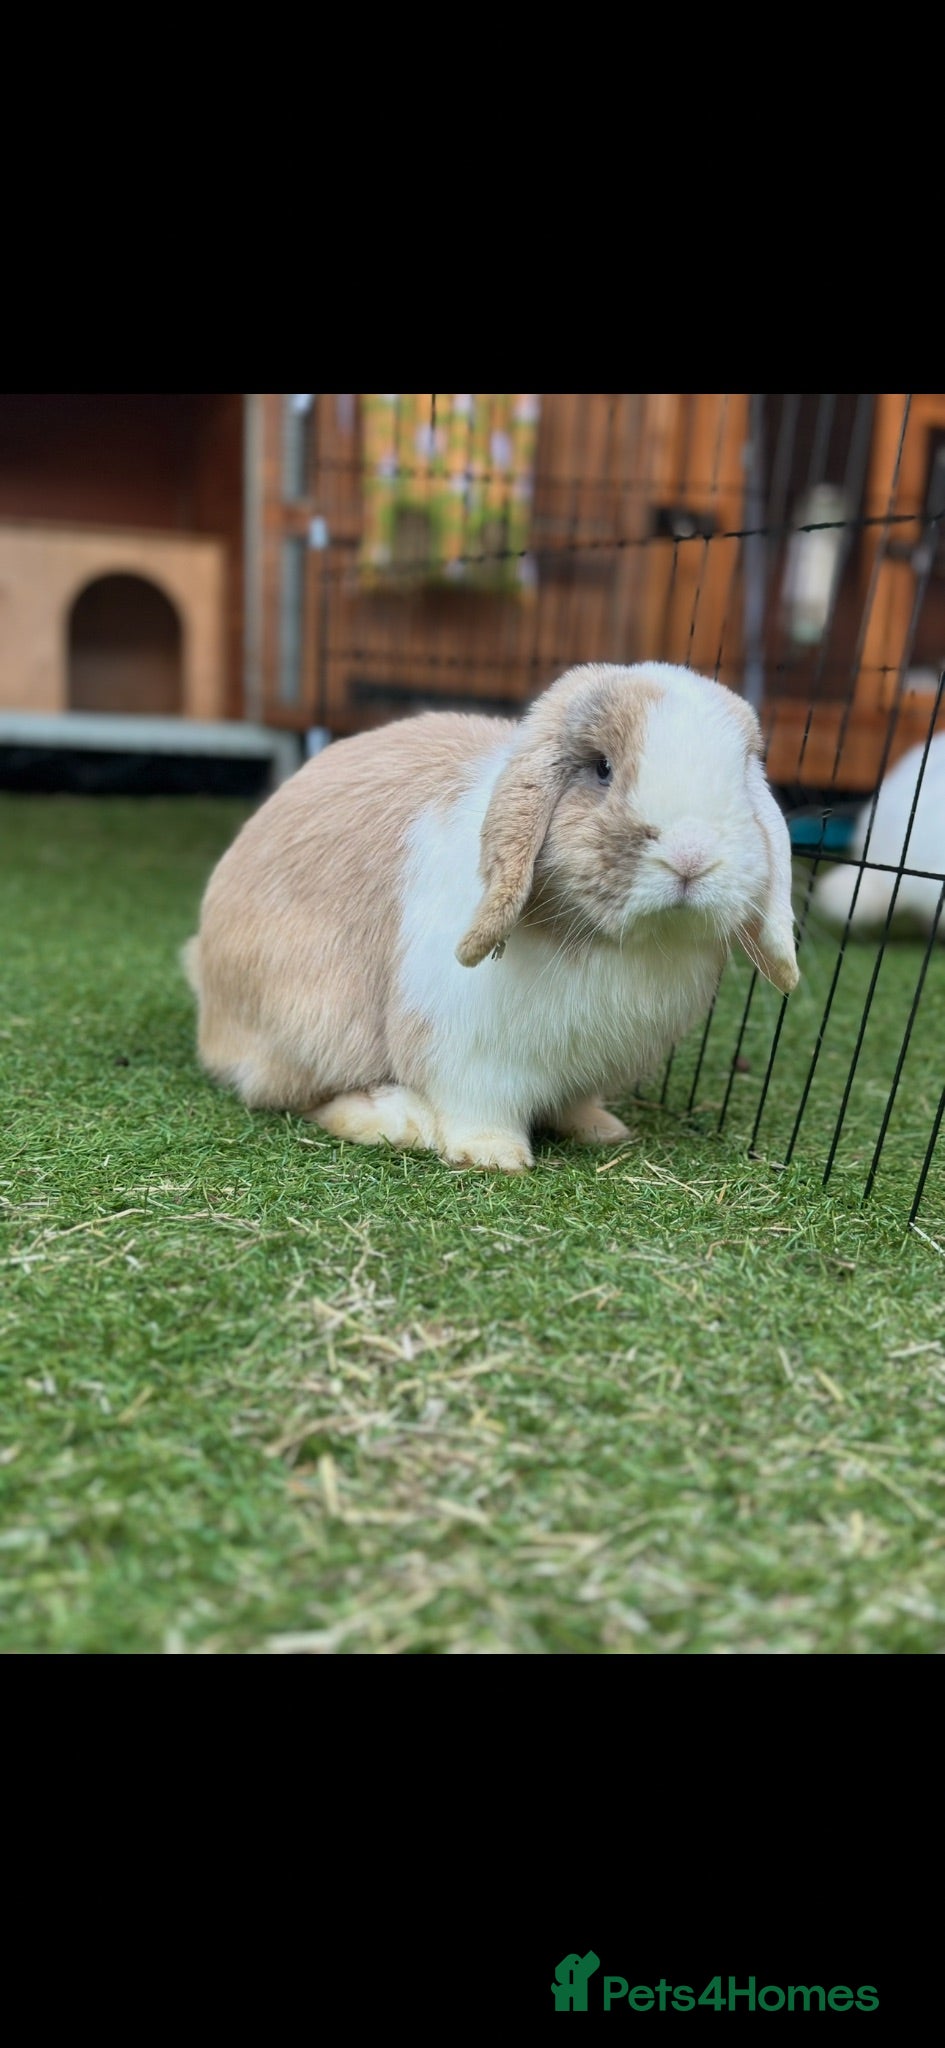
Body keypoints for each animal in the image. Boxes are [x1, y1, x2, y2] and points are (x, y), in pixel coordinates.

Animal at [183, 661, 799, 1172]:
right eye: (601, 769)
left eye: (741, 780)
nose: (692, 855)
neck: (611, 942)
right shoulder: (466, 1052)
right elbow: (478, 1107)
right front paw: (494, 1156)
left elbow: (575, 1103)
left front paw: (600, 1129)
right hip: (314, 1021)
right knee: (293, 1095)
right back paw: (400, 1122)